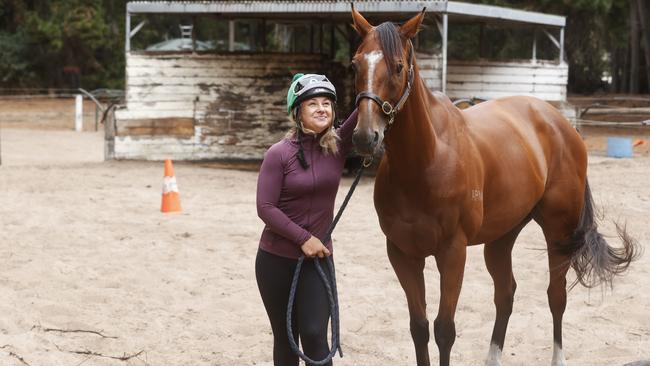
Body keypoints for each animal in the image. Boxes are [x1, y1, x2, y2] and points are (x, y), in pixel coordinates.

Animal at [346, 6, 636, 366]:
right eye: (355, 64)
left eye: (398, 66)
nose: (364, 137)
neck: (426, 160)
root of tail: (561, 123)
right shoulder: (402, 253)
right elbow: (419, 327)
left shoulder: (452, 252)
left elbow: (444, 330)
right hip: (501, 238)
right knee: (506, 294)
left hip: (558, 232)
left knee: (556, 296)